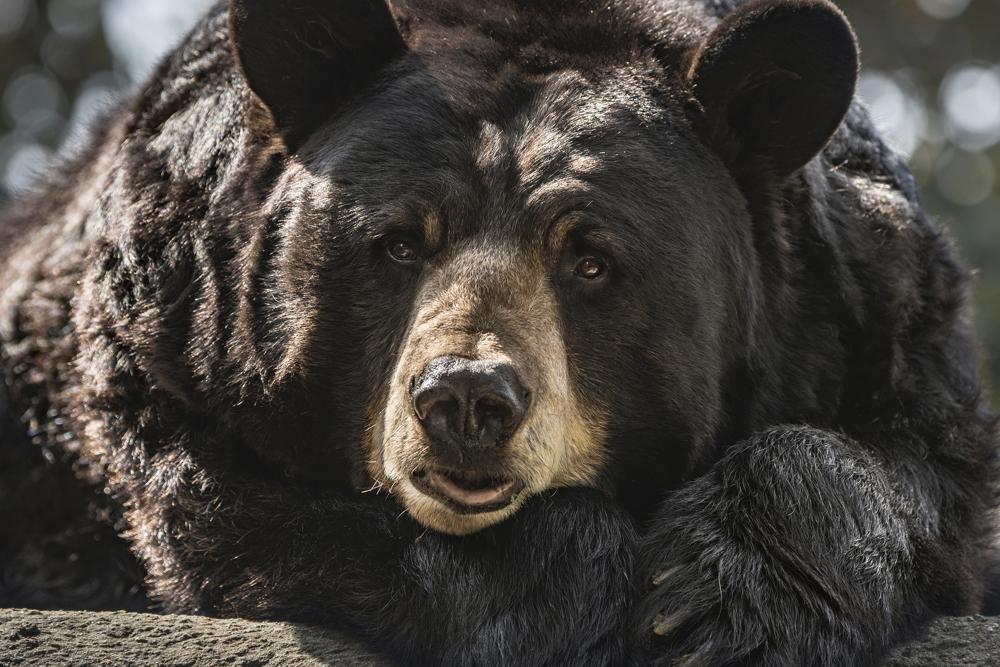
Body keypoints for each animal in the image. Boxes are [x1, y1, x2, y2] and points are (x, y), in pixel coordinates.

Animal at [1, 0, 1000, 664]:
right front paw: (573, 591)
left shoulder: (871, 309)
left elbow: (914, 465)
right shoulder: (175, 334)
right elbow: (243, 509)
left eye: (591, 259)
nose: (466, 398)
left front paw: (720, 605)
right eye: (400, 241)